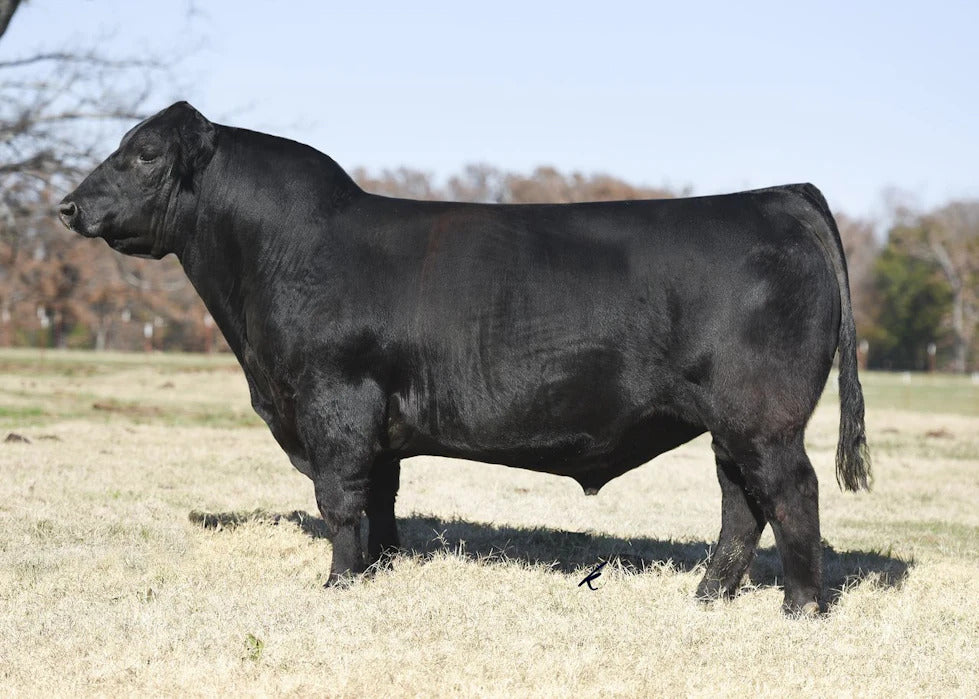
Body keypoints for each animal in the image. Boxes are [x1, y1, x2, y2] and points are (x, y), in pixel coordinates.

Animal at [58, 102, 870, 615]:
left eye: (143, 154)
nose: (68, 206)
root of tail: (777, 194)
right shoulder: (375, 419)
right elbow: (380, 498)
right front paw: (380, 569)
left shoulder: (335, 399)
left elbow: (339, 498)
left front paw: (338, 586)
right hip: (730, 422)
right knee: (741, 503)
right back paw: (708, 596)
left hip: (762, 417)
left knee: (789, 493)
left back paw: (800, 607)